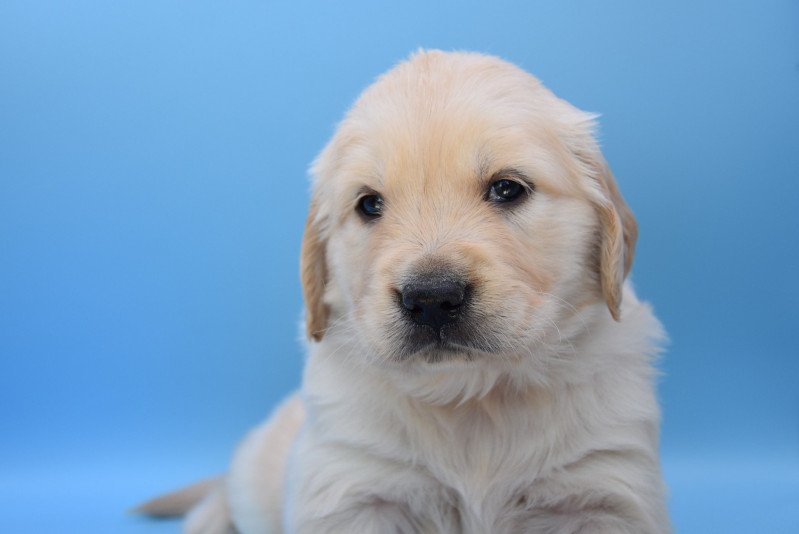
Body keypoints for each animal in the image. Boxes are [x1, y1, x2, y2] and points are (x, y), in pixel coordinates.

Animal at [136, 49, 668, 532]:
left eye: (508, 189)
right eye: (369, 204)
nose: (431, 298)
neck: (471, 397)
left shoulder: (604, 486)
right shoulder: (351, 484)